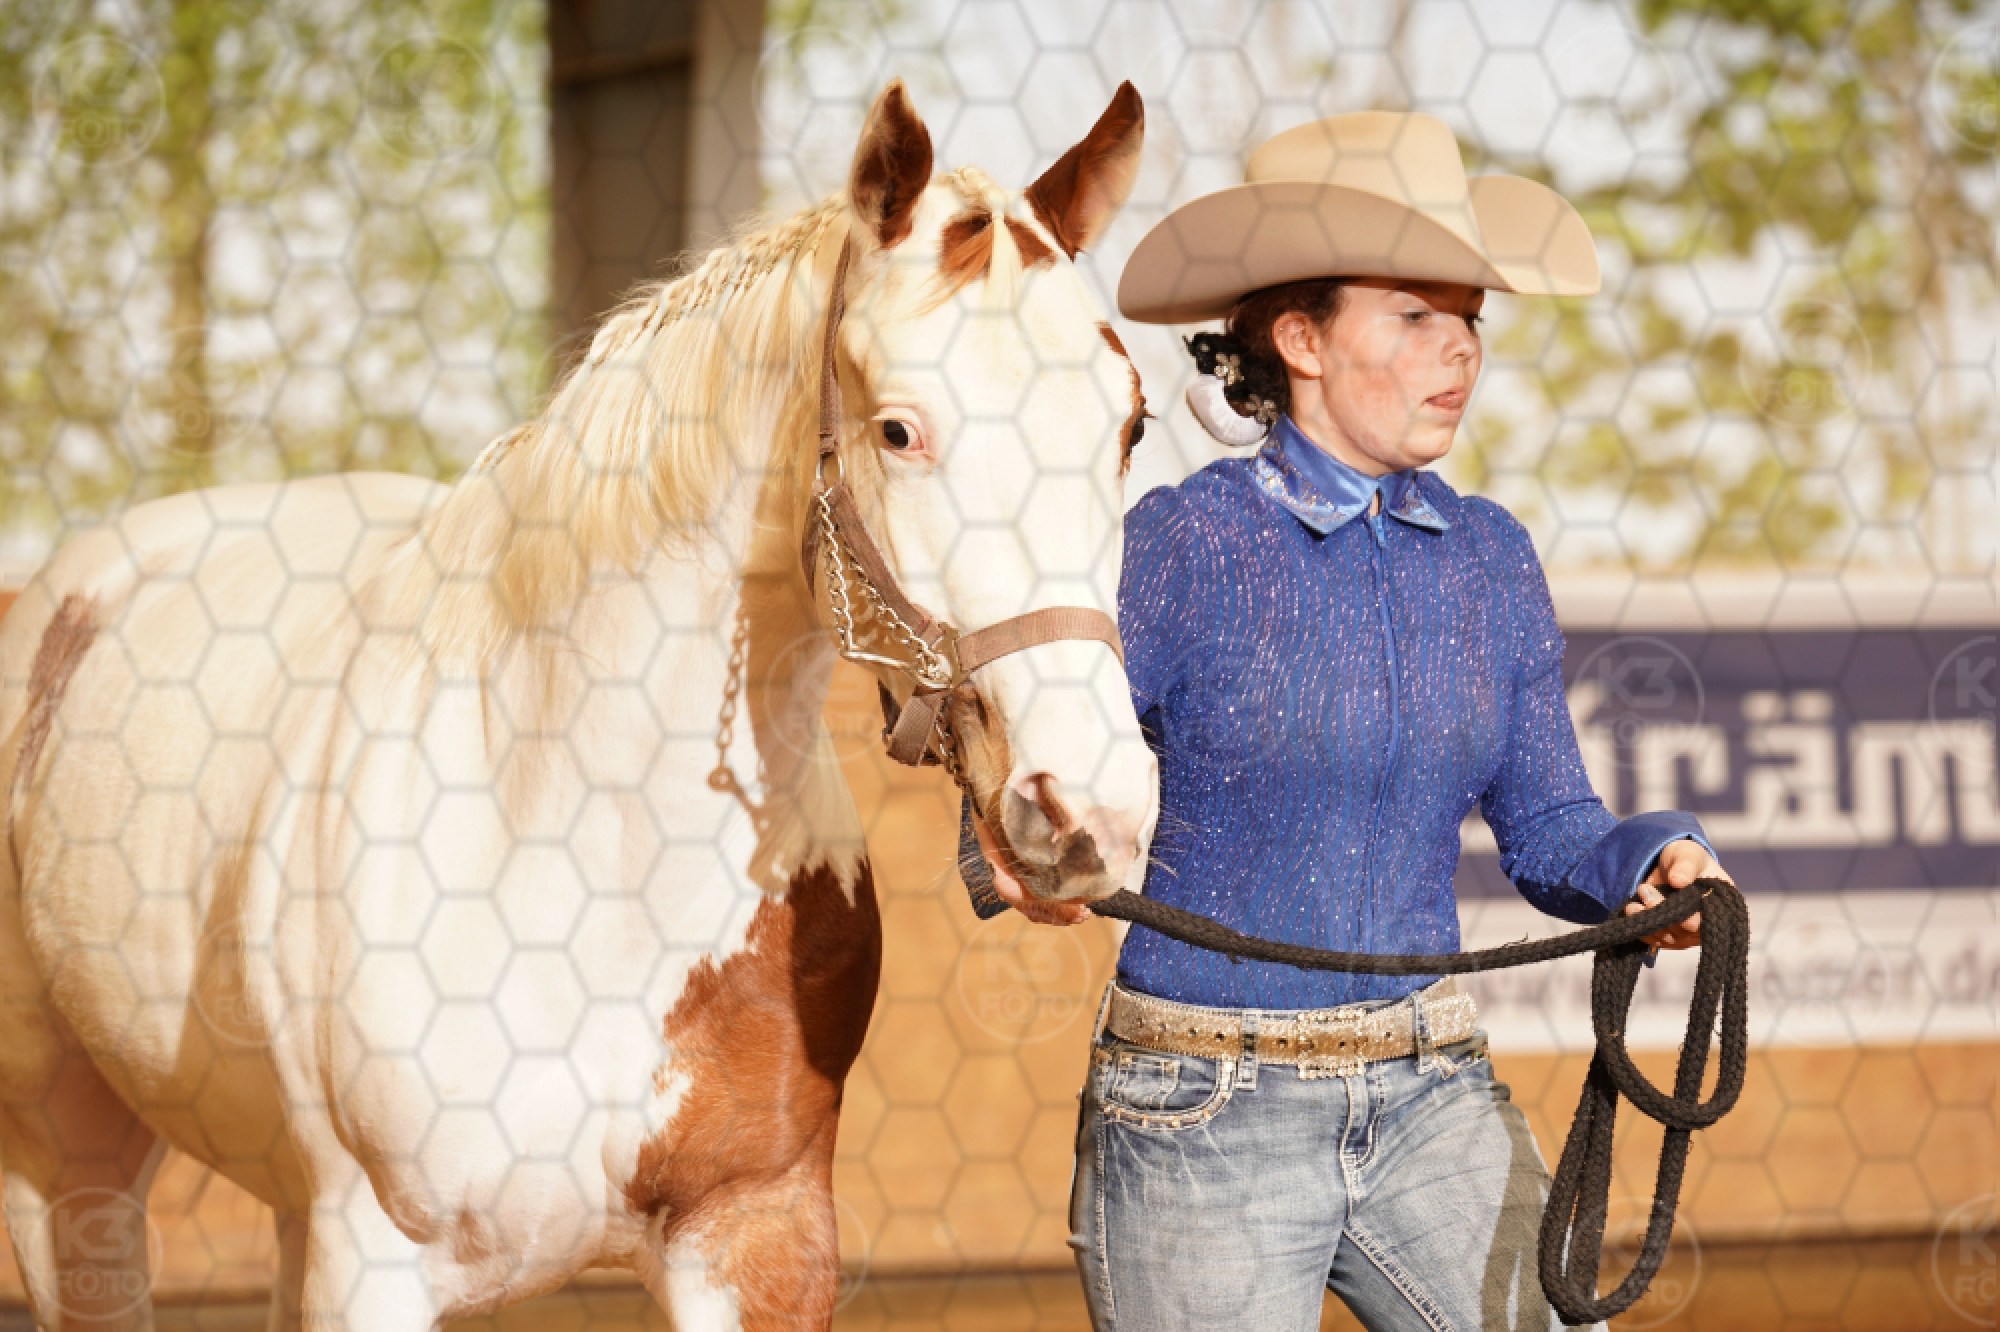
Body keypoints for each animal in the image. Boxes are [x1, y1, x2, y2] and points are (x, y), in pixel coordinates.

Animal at [0, 80, 1157, 1330]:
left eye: (1130, 423)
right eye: (898, 428)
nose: (1085, 811)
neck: (570, 844)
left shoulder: (757, 1238)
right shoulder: (367, 1262)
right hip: (67, 1171)